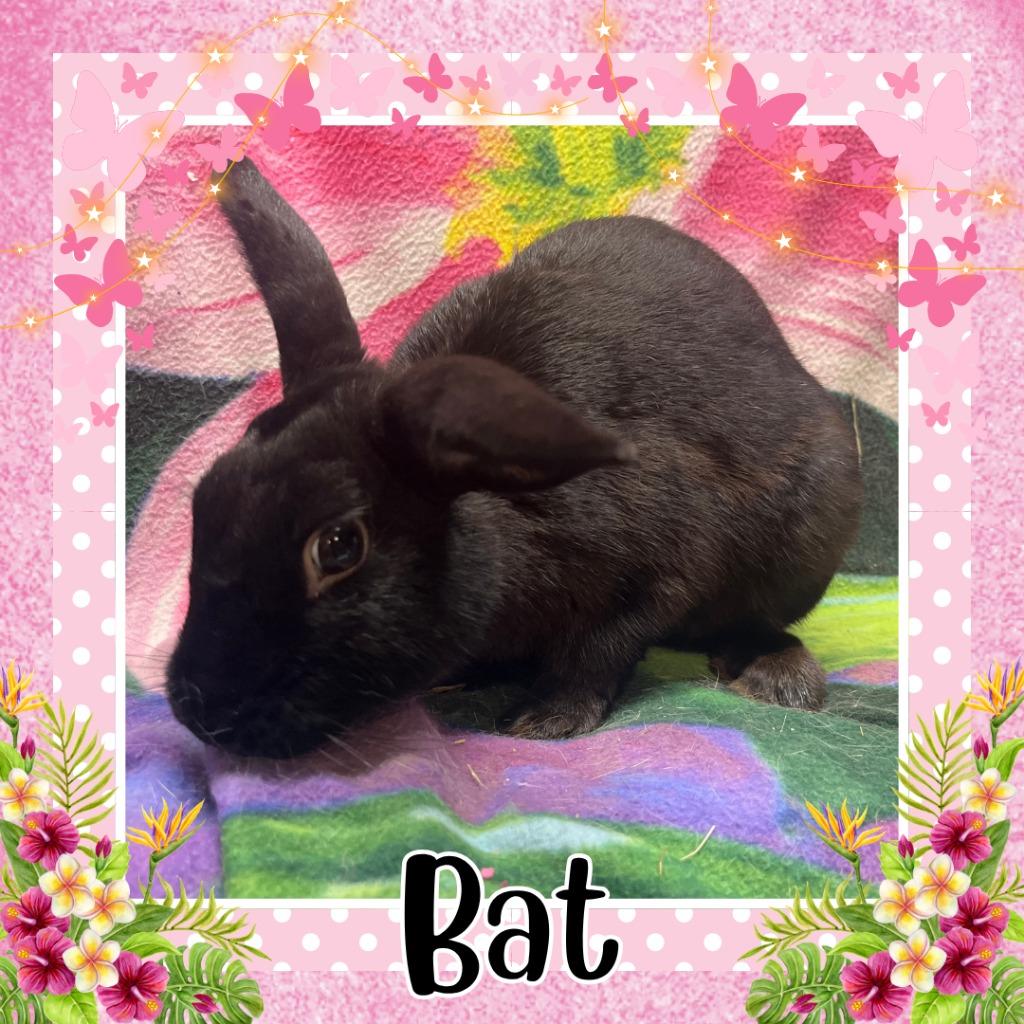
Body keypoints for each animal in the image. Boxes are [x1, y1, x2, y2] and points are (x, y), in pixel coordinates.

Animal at [165, 156, 862, 759]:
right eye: (203, 498)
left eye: (338, 547)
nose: (198, 712)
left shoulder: (662, 566)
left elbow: (600, 649)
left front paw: (544, 719)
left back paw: (775, 673)